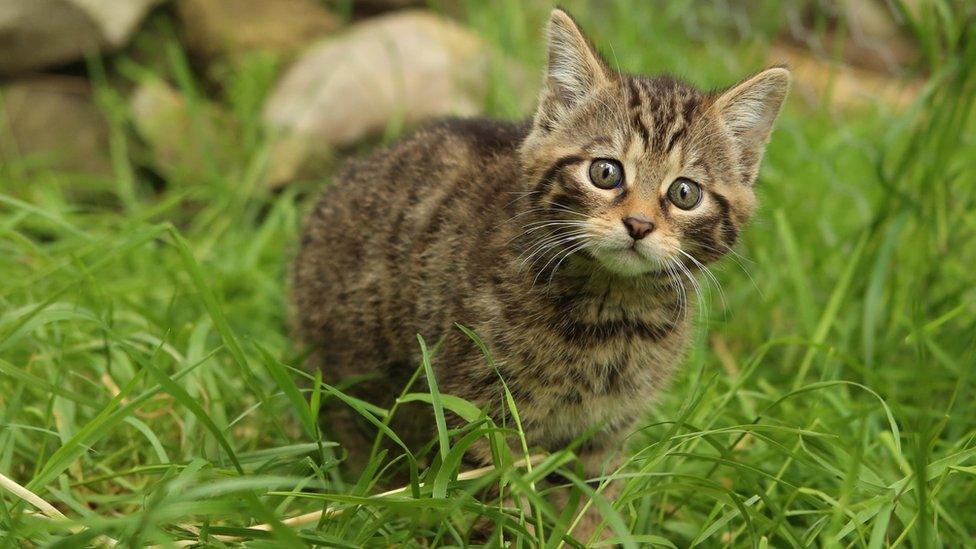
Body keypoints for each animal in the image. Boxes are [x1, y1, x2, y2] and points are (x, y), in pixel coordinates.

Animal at [294, 5, 788, 536]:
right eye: (606, 172)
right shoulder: (485, 411)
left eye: (684, 193)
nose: (638, 224)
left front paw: (591, 537)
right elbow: (501, 498)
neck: (609, 315)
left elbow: (593, 502)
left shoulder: (605, 430)